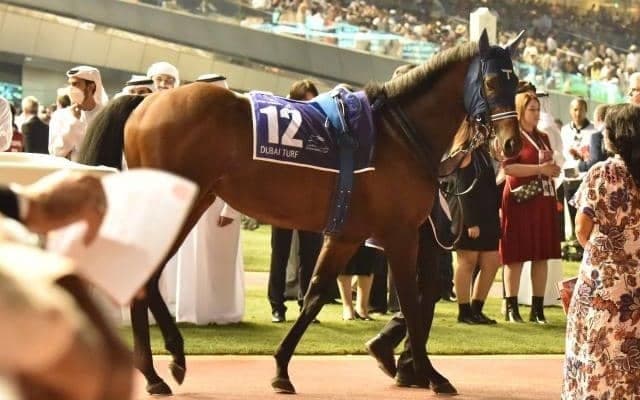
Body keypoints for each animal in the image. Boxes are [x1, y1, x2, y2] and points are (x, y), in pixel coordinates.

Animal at [78, 29, 523, 396]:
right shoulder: (400, 235)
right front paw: (433, 375)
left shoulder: (346, 233)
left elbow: (314, 296)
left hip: (194, 201)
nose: (512, 144)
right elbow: (412, 305)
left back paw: (164, 363)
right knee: (144, 276)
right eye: (490, 81)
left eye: (515, 82)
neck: (398, 136)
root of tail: (145, 100)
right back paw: (157, 369)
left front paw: (281, 369)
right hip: (182, 203)